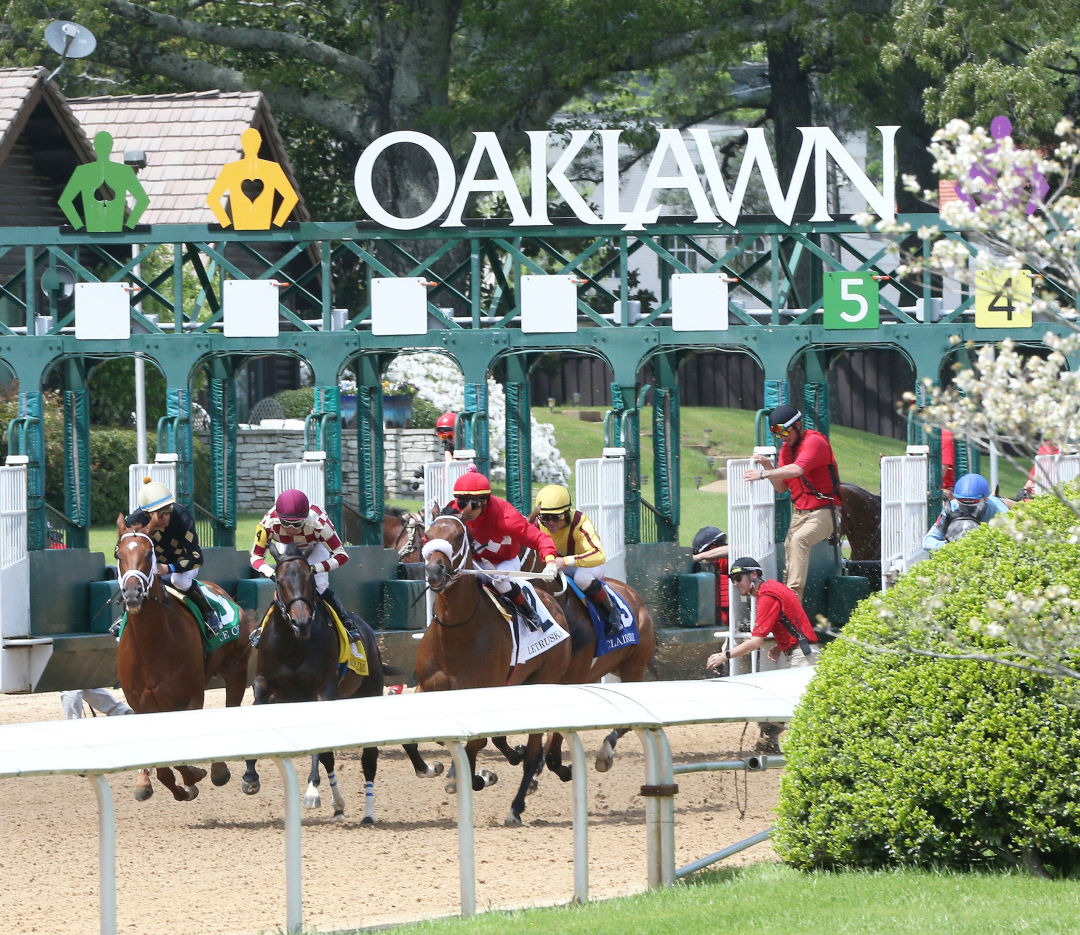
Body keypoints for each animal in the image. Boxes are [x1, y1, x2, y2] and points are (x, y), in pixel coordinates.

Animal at [115, 513, 255, 798]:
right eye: (119, 554)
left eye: (149, 554)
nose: (133, 593)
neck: (151, 647)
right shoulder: (143, 706)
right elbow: (163, 767)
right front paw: (172, 785)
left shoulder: (189, 698)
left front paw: (195, 775)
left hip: (235, 668)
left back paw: (219, 770)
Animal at [240, 541, 434, 820]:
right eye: (279, 580)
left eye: (309, 578)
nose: (301, 621)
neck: (293, 644)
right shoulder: (266, 687)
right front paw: (250, 775)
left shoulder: (323, 692)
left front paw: (312, 790)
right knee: (333, 756)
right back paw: (340, 805)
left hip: (369, 691)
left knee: (370, 757)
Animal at [410, 513, 574, 829]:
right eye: (428, 536)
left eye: (457, 537)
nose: (434, 571)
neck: (456, 632)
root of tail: (553, 604)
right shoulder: (425, 689)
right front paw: (435, 768)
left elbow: (474, 746)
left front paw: (474, 778)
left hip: (542, 682)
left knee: (532, 755)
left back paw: (516, 807)